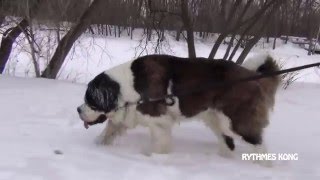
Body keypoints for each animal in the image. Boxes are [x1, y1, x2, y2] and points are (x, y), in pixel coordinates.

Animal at [77, 53, 280, 165]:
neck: (126, 87)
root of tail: (251, 75)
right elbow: (108, 132)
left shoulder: (160, 122)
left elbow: (160, 145)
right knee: (228, 143)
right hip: (215, 119)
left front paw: (154, 158)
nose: (78, 110)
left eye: (90, 100)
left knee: (258, 146)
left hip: (236, 121)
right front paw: (97, 147)